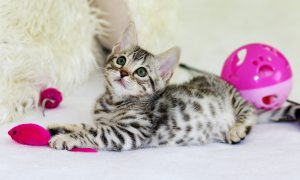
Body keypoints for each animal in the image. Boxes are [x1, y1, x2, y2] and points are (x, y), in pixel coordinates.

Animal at [47, 23, 298, 150]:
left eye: (141, 72)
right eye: (121, 60)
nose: (123, 73)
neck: (113, 102)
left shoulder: (129, 132)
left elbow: (95, 132)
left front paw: (67, 138)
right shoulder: (105, 121)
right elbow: (86, 125)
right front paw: (61, 126)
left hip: (235, 99)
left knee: (249, 112)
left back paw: (238, 128)